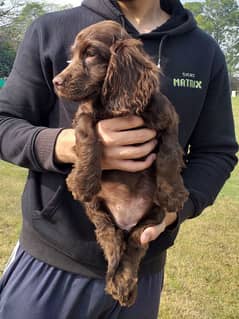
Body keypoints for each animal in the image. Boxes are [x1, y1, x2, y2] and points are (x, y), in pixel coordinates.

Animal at [53, 20, 189, 308]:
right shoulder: (84, 114)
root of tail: (126, 223)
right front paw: (82, 181)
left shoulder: (168, 118)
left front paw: (172, 193)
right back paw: (119, 285)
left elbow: (169, 154)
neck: (117, 106)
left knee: (134, 247)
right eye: (73, 55)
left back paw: (124, 285)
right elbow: (88, 139)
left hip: (151, 219)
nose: (56, 82)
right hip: (99, 214)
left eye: (90, 54)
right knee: (114, 246)